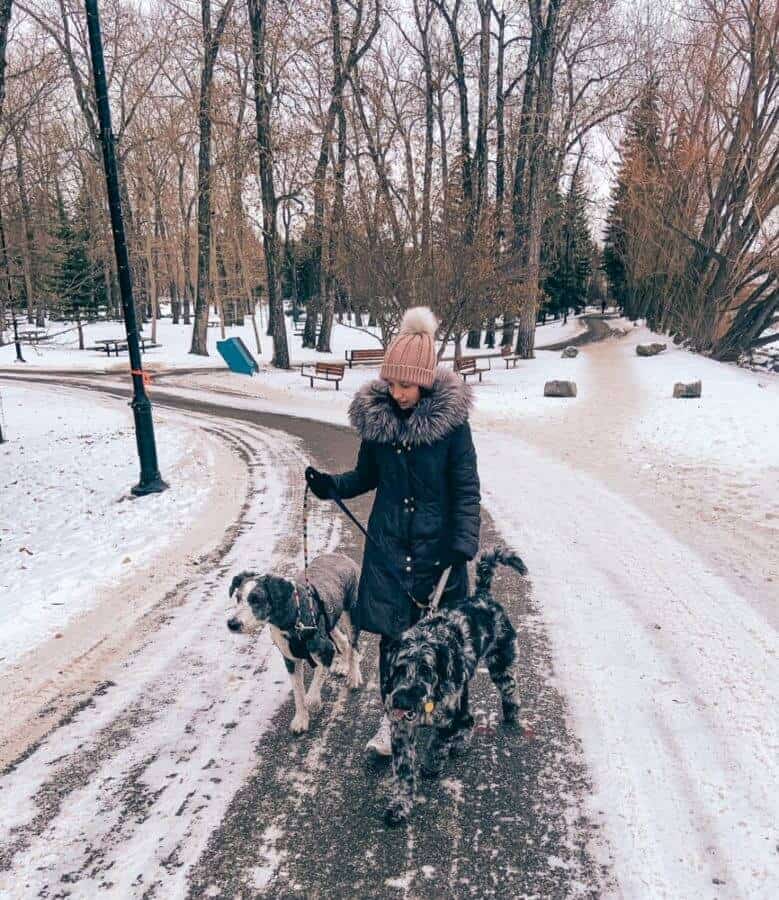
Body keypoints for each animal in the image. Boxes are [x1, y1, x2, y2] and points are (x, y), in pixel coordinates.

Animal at [224, 552, 362, 736]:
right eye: (238, 598)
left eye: (256, 599)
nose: (232, 624)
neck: (292, 620)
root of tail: (340, 556)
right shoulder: (290, 659)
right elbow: (298, 692)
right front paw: (301, 719)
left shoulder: (325, 650)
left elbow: (319, 674)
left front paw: (313, 699)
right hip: (329, 620)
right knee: (344, 641)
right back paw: (344, 666)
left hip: (352, 613)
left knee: (354, 646)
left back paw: (354, 676)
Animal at [380, 544, 528, 828]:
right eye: (399, 668)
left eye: (426, 670)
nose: (403, 700)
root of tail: (483, 597)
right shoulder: (401, 729)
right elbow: (404, 772)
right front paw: (400, 805)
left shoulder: (447, 715)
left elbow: (437, 744)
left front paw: (432, 765)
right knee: (469, 718)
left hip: (500, 663)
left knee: (510, 689)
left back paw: (511, 714)